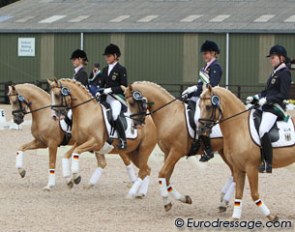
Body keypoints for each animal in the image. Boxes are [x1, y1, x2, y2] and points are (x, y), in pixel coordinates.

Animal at [7, 83, 136, 190]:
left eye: (15, 101)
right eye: (10, 101)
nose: (16, 119)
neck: (45, 115)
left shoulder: (52, 144)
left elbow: (51, 163)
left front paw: (50, 185)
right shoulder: (41, 142)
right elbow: (21, 148)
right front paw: (21, 171)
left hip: (115, 146)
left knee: (126, 161)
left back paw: (134, 182)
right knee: (104, 163)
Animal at [123, 80, 235, 211]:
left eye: (132, 102)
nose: (135, 124)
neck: (169, 114)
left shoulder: (176, 152)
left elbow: (162, 173)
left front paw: (166, 202)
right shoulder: (168, 153)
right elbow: (166, 178)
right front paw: (184, 199)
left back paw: (225, 200)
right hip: (224, 152)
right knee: (234, 173)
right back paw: (224, 201)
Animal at [198, 85, 295, 221]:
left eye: (207, 106)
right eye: (199, 105)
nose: (200, 129)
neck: (239, 128)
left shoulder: (251, 168)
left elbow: (254, 194)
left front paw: (271, 216)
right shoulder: (238, 168)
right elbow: (238, 193)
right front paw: (235, 217)